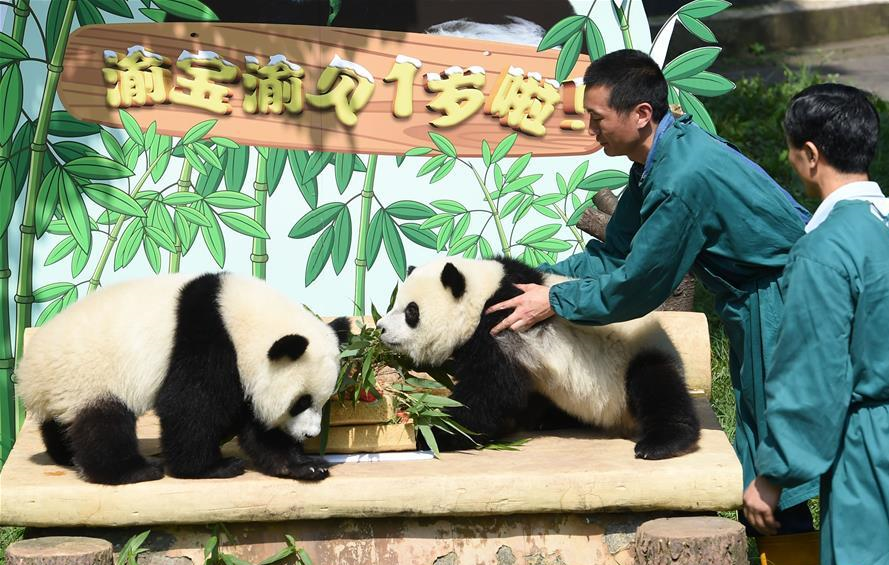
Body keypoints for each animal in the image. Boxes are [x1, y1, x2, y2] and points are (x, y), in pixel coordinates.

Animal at [16, 270, 350, 482]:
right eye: (300, 402)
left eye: (321, 401)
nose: (310, 435)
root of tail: (28, 375)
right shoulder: (205, 339)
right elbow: (190, 405)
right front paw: (213, 467)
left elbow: (256, 424)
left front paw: (304, 466)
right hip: (88, 376)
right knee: (103, 425)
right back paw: (133, 471)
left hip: (65, 389)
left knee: (62, 423)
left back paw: (65, 455)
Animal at [374, 256, 700, 458]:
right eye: (395, 304)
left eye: (411, 312)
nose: (380, 328)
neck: (482, 293)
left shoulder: (502, 325)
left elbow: (493, 389)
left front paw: (434, 431)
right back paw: (550, 419)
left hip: (633, 359)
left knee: (655, 385)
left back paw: (661, 443)